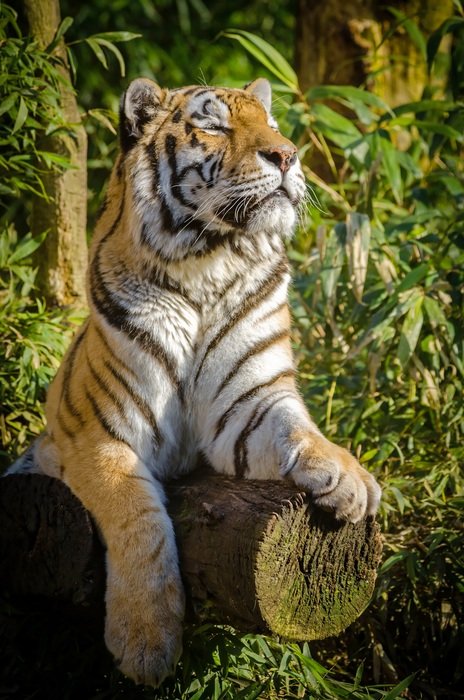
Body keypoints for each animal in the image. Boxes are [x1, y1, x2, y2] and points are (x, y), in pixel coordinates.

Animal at [9, 77, 381, 686]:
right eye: (214, 126)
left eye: (272, 125)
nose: (287, 155)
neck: (207, 263)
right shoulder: (98, 436)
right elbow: (138, 519)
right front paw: (145, 642)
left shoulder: (250, 404)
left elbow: (297, 431)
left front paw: (351, 480)